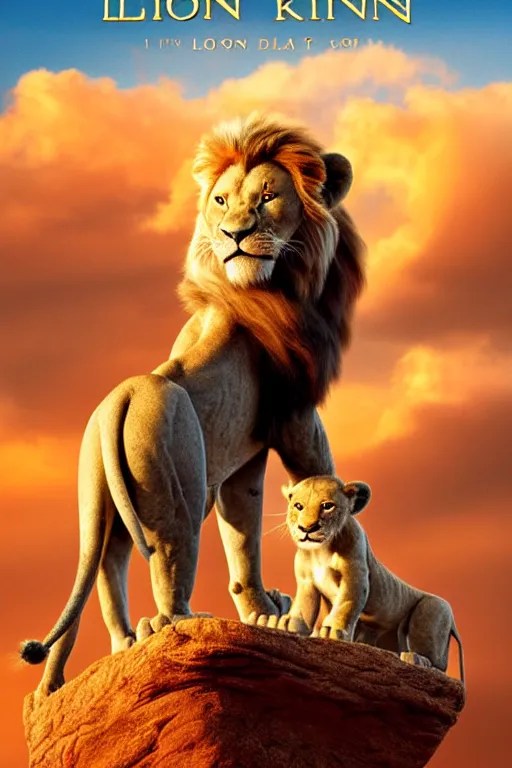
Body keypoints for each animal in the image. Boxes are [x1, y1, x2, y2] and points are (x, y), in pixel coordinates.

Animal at [20, 114, 365, 697]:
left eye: (267, 195)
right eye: (222, 200)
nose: (234, 234)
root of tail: (120, 398)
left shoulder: (245, 458)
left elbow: (243, 533)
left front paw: (263, 612)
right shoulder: (296, 417)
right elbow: (320, 474)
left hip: (102, 504)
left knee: (107, 571)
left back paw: (122, 644)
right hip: (175, 480)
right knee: (168, 561)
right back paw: (174, 623)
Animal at [253, 476, 464, 682]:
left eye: (327, 506)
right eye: (298, 506)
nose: (307, 528)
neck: (320, 549)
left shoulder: (355, 575)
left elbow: (346, 604)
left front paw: (333, 631)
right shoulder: (307, 582)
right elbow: (304, 607)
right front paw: (287, 624)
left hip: (433, 611)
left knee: (439, 666)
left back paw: (417, 659)